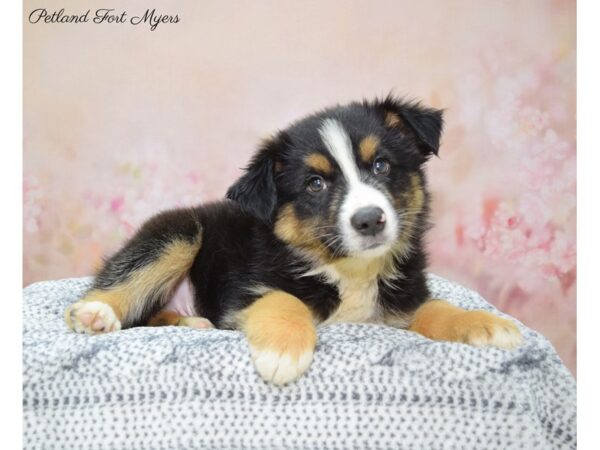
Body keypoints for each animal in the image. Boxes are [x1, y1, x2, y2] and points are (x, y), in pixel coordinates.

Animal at [65, 96, 524, 384]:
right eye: (315, 184)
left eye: (381, 164)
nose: (370, 220)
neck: (350, 271)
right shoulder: (244, 291)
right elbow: (284, 300)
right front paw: (283, 353)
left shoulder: (400, 303)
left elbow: (435, 307)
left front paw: (484, 324)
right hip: (179, 233)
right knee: (124, 286)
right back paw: (96, 313)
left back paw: (189, 321)